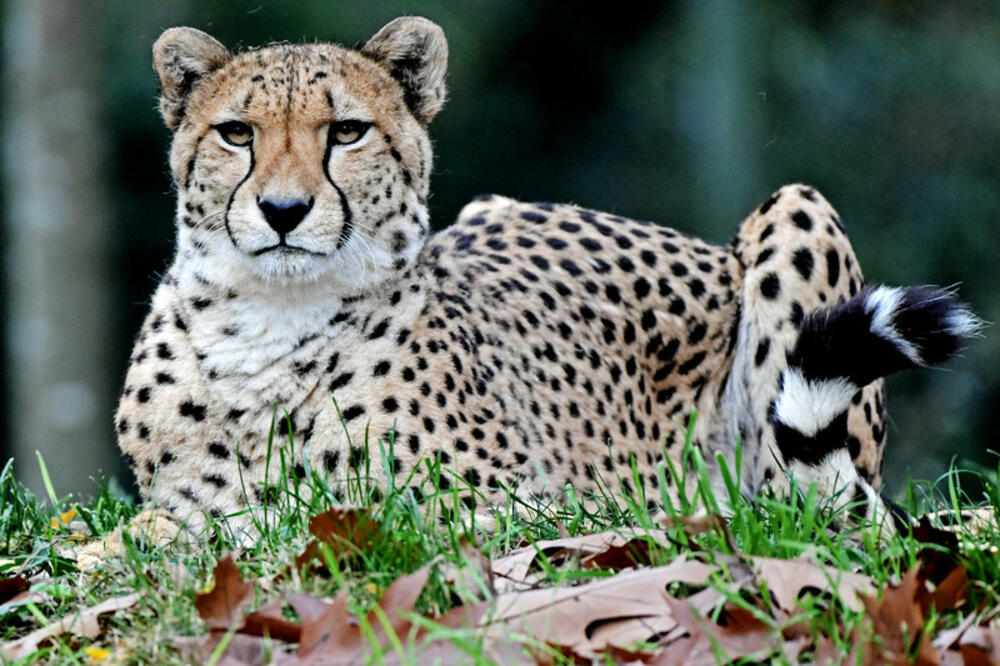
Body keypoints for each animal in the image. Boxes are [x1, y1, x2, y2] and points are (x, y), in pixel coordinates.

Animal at [115, 16, 976, 536]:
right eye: (236, 134)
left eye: (348, 132)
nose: (284, 211)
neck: (269, 324)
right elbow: (161, 527)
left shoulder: (513, 510)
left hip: (798, 213)